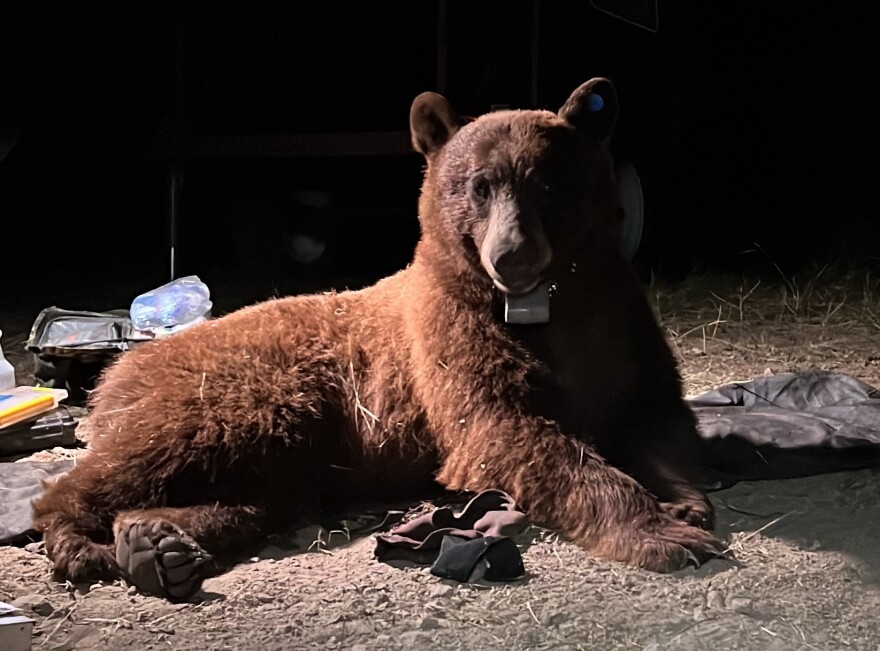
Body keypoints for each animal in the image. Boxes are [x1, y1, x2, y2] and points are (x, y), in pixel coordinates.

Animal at [32, 77, 720, 600]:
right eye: (478, 185)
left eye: (547, 183)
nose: (512, 255)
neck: (543, 304)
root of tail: (120, 371)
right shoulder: (451, 337)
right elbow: (508, 430)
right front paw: (663, 533)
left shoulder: (622, 324)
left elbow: (657, 414)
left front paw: (684, 503)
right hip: (239, 396)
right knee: (140, 460)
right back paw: (86, 542)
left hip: (284, 440)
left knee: (258, 495)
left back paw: (156, 542)